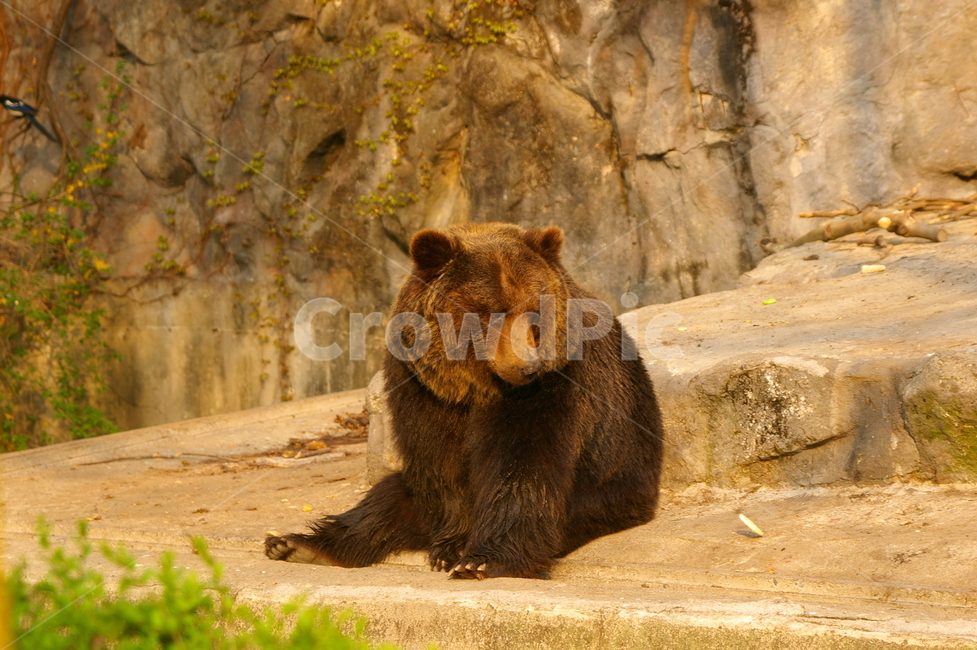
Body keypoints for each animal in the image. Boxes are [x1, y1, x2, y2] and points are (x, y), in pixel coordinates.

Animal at [265, 222, 664, 579]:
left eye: (536, 309)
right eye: (492, 310)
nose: (529, 366)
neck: (475, 385)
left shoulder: (552, 390)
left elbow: (524, 467)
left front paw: (481, 561)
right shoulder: (423, 390)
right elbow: (438, 461)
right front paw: (452, 547)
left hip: (610, 483)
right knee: (384, 501)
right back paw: (297, 544)